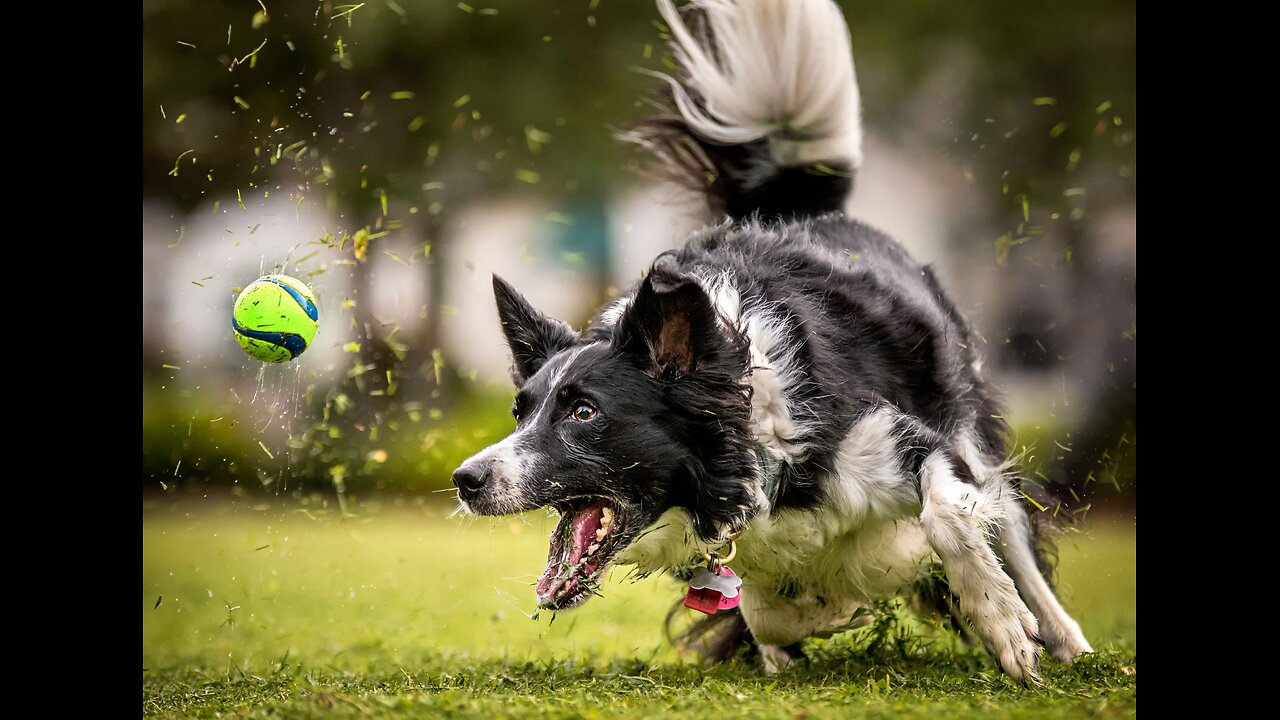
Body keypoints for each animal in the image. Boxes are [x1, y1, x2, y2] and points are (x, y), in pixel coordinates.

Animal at [450, 0, 1090, 681]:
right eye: (519, 412)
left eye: (583, 413)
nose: (466, 478)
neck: (745, 435)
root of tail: (800, 209)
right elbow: (767, 609)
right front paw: (821, 612)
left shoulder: (903, 440)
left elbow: (945, 517)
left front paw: (1000, 622)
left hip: (968, 420)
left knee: (1011, 525)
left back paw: (1063, 639)